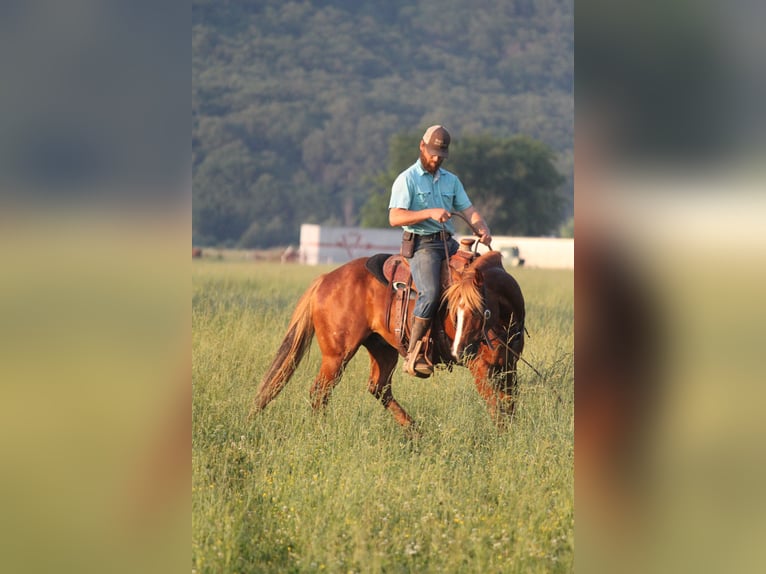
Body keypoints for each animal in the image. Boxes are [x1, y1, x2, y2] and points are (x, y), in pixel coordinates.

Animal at [252, 252, 528, 428]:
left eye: (479, 309)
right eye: (452, 309)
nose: (459, 351)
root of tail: (325, 279)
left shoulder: (509, 366)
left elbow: (510, 405)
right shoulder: (480, 369)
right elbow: (496, 408)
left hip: (382, 348)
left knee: (379, 387)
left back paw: (416, 432)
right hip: (336, 356)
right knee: (320, 392)